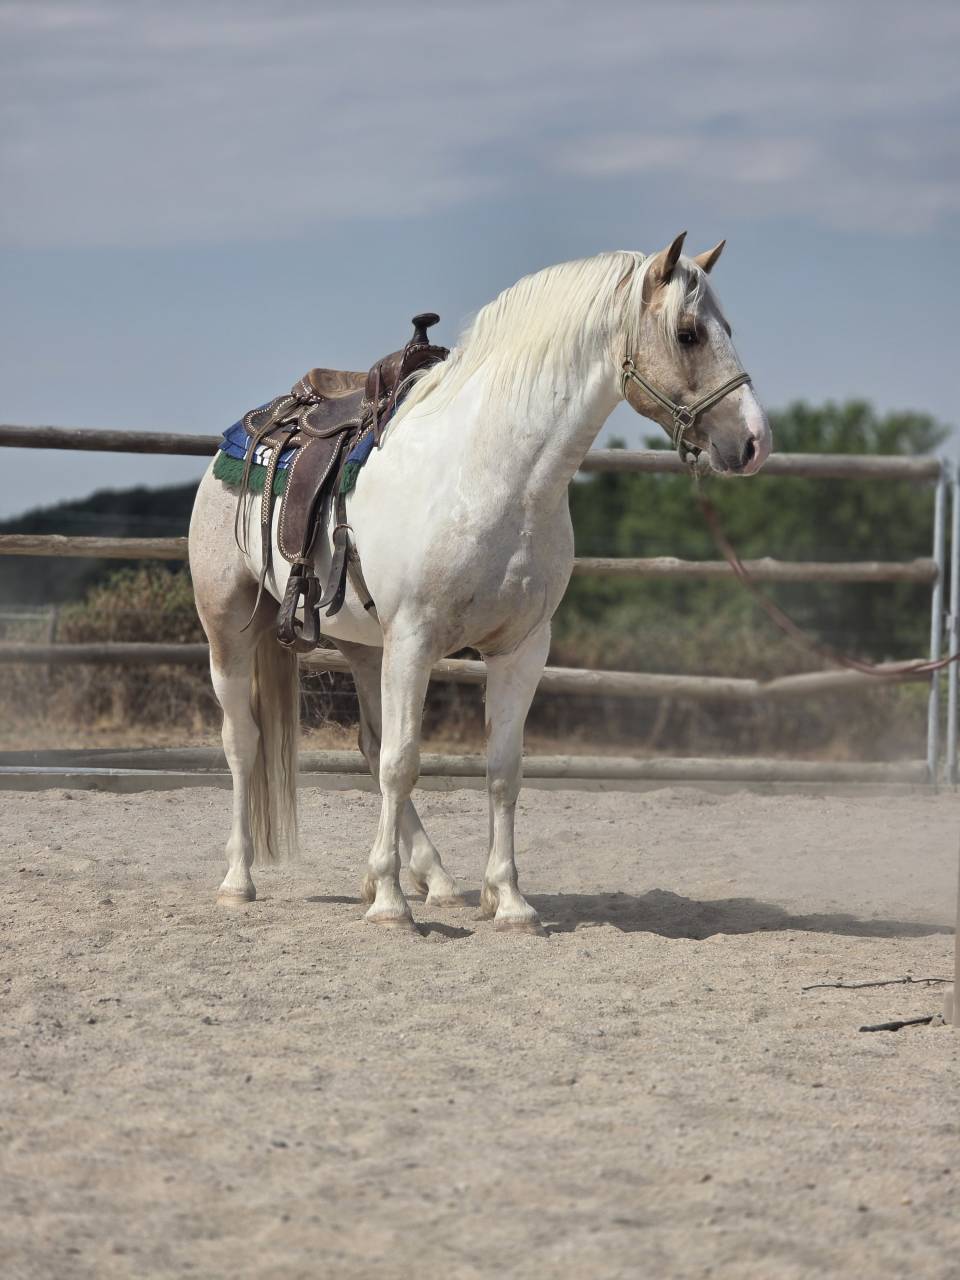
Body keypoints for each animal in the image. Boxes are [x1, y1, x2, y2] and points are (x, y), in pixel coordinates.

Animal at [187, 232, 771, 932]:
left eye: (726, 328)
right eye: (688, 333)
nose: (755, 442)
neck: (491, 473)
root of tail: (257, 425)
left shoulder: (521, 649)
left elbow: (499, 769)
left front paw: (508, 900)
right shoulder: (415, 641)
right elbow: (405, 763)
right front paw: (390, 906)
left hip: (366, 647)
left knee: (369, 744)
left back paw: (434, 879)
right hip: (231, 629)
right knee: (244, 743)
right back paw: (239, 880)